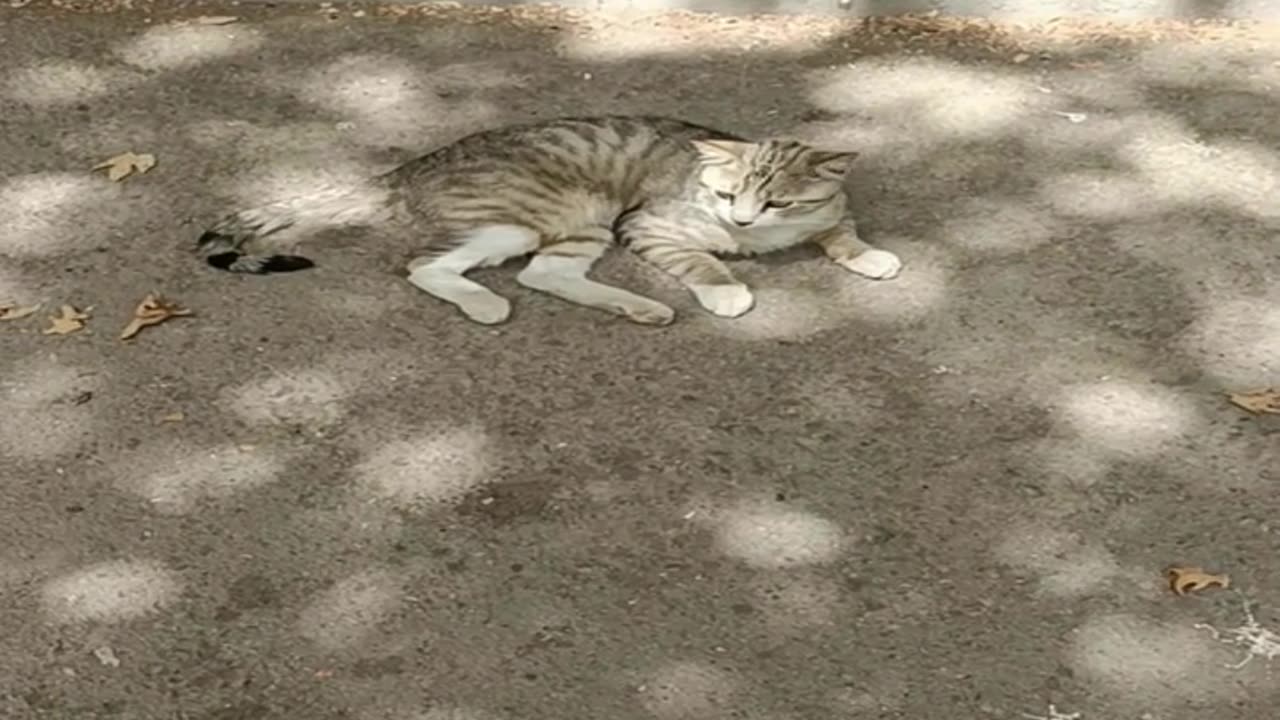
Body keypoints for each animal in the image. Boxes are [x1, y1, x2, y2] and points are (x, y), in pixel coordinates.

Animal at [199, 114, 901, 322]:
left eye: (777, 201)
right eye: (728, 198)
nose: (745, 225)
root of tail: (409, 168)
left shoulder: (829, 212)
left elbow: (842, 230)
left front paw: (870, 255)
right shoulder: (646, 225)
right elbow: (701, 261)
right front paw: (726, 288)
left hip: (582, 223)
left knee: (544, 276)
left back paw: (639, 307)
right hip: (525, 219)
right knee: (425, 264)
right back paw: (485, 304)